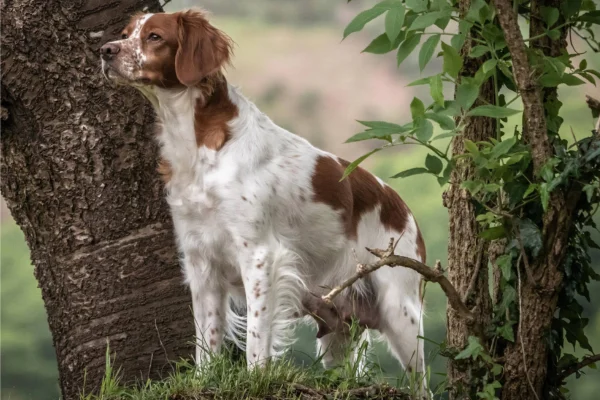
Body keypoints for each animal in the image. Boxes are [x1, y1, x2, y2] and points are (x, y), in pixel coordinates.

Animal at [99, 5, 426, 388]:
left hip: (400, 310)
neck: (198, 148)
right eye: (125, 33)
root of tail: (403, 208)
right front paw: (205, 377)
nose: (105, 51)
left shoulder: (259, 255)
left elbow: (257, 335)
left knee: (423, 385)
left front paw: (255, 377)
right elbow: (206, 338)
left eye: (154, 36)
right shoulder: (200, 259)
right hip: (338, 326)